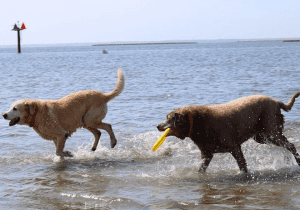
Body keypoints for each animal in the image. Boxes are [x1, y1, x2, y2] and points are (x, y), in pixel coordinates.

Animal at [157, 92, 300, 173]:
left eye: (169, 118)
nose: (157, 126)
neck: (198, 122)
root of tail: (276, 101)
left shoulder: (234, 147)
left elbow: (243, 166)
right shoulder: (207, 154)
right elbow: (201, 169)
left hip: (270, 131)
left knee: (291, 146)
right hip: (262, 136)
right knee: (286, 146)